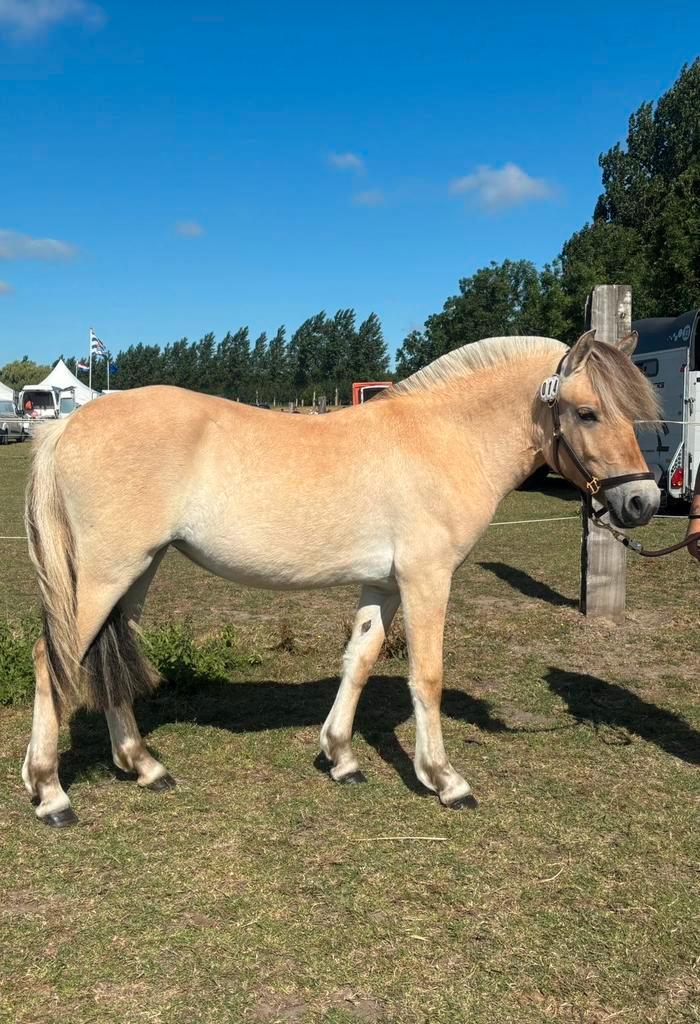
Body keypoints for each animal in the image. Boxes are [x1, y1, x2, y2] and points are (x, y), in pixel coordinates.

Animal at [22, 329, 660, 826]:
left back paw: (145, 766)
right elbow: (426, 676)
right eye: (587, 412)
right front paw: (445, 779)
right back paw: (50, 793)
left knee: (102, 658)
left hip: (136, 573)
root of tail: (68, 426)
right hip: (104, 575)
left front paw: (341, 758)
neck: (442, 438)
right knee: (52, 658)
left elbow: (359, 659)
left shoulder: (384, 584)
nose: (643, 502)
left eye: (632, 412)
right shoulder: (427, 579)